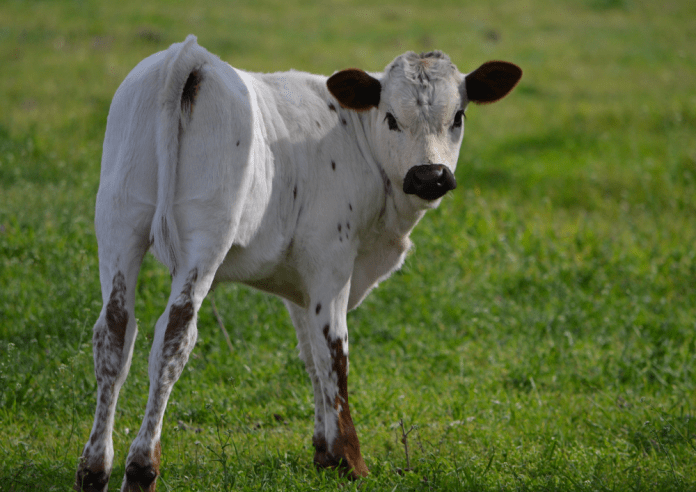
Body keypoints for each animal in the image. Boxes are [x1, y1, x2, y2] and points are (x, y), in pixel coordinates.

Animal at [77, 35, 520, 492]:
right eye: (392, 118)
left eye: (458, 116)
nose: (429, 175)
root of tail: (192, 57)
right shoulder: (331, 262)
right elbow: (334, 352)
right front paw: (350, 459)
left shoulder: (299, 282)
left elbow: (310, 356)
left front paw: (325, 452)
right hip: (205, 235)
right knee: (174, 334)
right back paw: (141, 467)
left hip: (118, 220)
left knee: (115, 331)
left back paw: (95, 469)